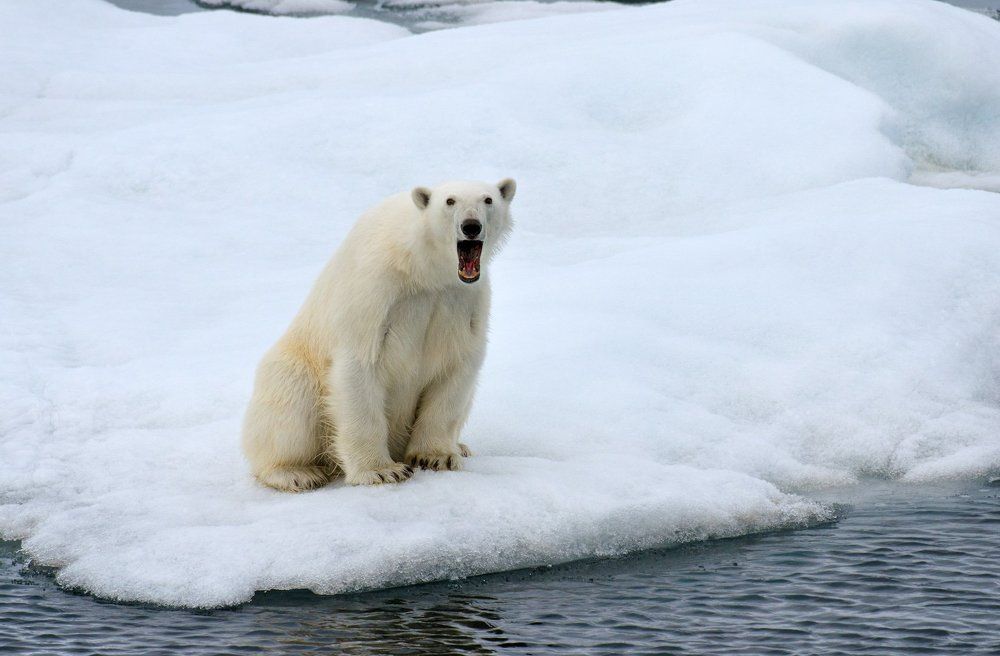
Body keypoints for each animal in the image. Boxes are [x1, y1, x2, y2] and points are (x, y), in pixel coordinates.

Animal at [241, 177, 516, 490]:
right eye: (450, 201)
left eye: (488, 199)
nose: (471, 226)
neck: (421, 267)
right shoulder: (377, 290)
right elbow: (360, 365)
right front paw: (382, 471)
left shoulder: (461, 301)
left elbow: (456, 370)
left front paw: (437, 456)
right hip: (295, 365)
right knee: (290, 402)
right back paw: (297, 472)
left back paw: (462, 446)